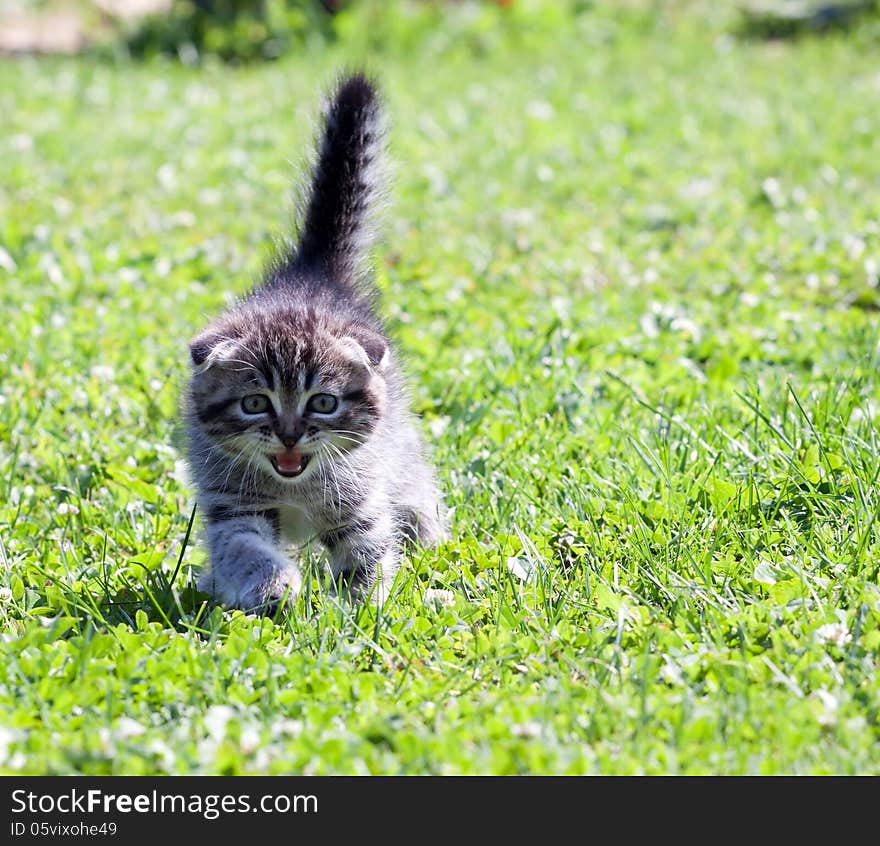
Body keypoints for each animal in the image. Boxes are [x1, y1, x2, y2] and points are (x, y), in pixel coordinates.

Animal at [186, 74, 446, 616]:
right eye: (255, 403)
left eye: (323, 403)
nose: (289, 436)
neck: (295, 485)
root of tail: (314, 272)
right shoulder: (233, 505)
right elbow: (242, 546)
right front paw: (271, 587)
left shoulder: (361, 498)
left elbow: (367, 549)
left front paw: (362, 608)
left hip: (398, 447)